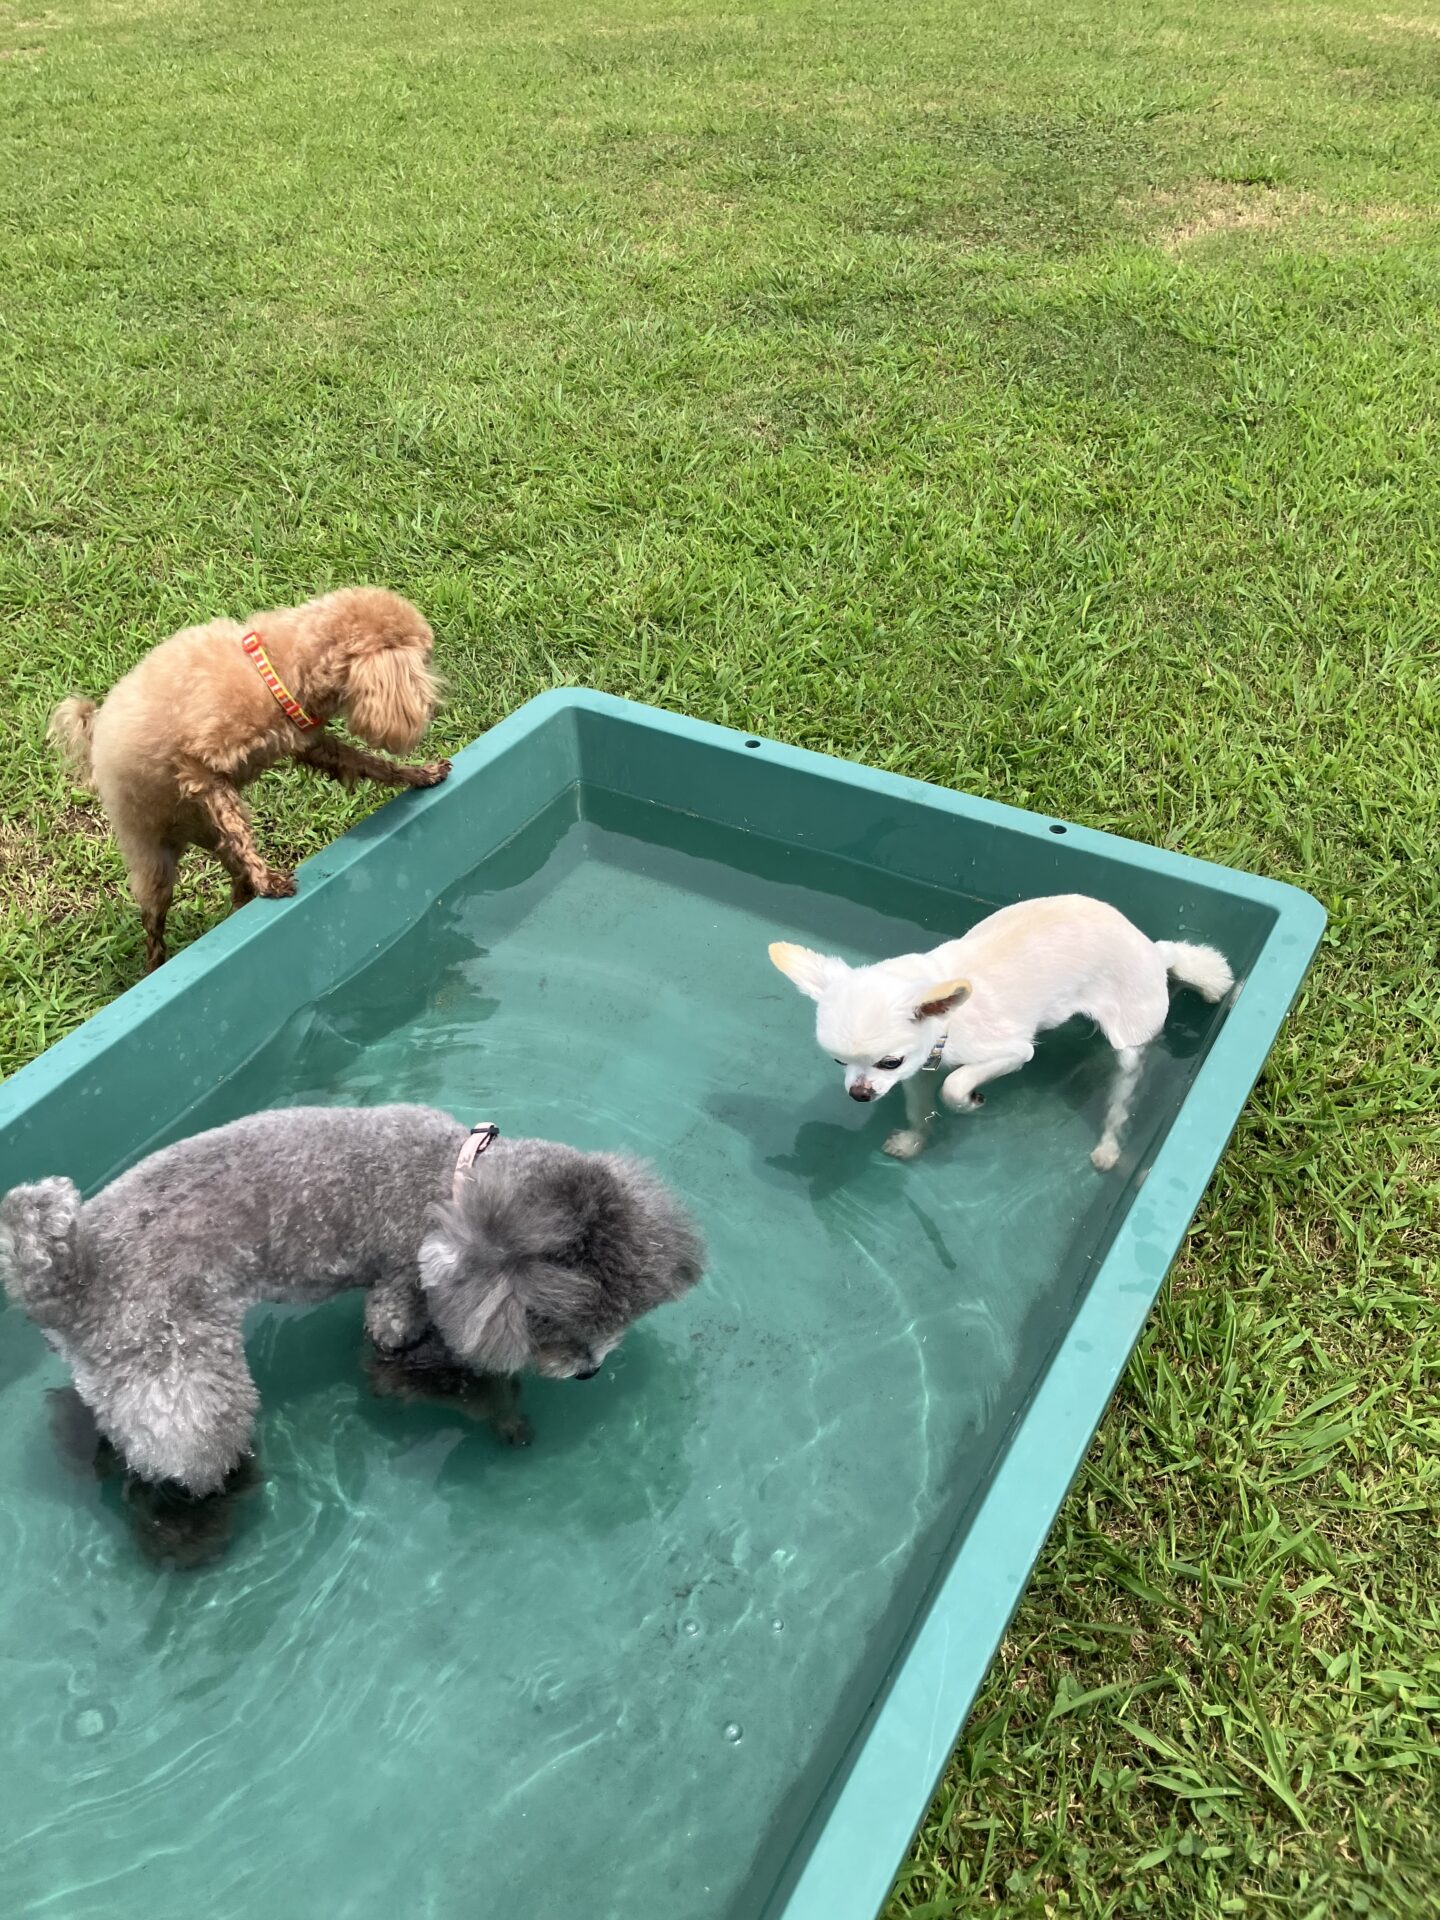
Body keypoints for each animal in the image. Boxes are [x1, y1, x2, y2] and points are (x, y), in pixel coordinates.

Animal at [0, 1105, 705, 1506]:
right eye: (544, 1323)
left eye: (620, 1317)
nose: (590, 1371)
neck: (456, 1175)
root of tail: (69, 1279)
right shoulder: (400, 1280)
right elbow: (392, 1331)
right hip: (178, 1370)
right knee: (187, 1447)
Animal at [49, 587, 449, 970]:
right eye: (425, 657)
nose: (434, 703)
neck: (274, 670)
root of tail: (93, 738)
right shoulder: (200, 767)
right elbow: (239, 828)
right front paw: (268, 879)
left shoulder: (310, 744)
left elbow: (370, 764)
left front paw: (421, 774)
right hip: (153, 861)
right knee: (155, 926)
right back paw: (155, 965)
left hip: (207, 836)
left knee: (233, 874)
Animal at [769, 894, 1234, 1169]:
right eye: (838, 1061)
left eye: (889, 1061)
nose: (859, 1094)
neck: (948, 1020)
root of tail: (1155, 952)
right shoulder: (919, 1072)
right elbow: (920, 1108)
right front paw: (914, 1141)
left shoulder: (1012, 1052)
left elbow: (954, 1086)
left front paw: (969, 1101)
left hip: (1132, 1032)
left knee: (1123, 1095)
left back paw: (1107, 1148)